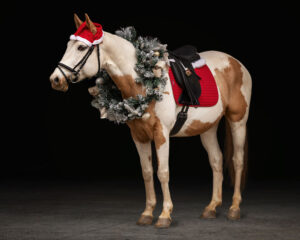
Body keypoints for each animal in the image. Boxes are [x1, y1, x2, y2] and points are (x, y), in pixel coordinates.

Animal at [49, 13, 253, 229]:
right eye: (68, 45)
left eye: (81, 47)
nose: (55, 79)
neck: (142, 83)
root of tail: (236, 63)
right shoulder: (139, 136)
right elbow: (147, 172)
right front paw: (147, 213)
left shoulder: (161, 134)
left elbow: (163, 172)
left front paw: (165, 214)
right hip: (208, 128)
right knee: (216, 160)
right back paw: (212, 207)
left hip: (238, 122)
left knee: (237, 160)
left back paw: (234, 208)